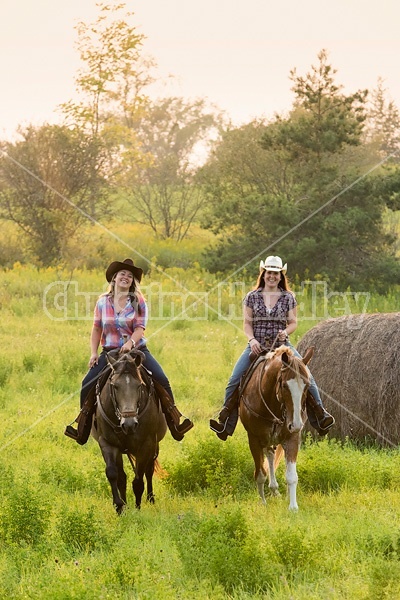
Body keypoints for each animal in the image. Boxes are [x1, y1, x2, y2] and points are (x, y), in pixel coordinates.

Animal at [90, 350, 166, 512]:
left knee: (149, 471)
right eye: (114, 386)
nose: (129, 424)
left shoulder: (146, 444)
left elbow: (138, 480)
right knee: (123, 476)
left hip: (154, 445)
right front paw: (119, 506)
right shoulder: (107, 443)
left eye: (139, 385)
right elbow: (113, 474)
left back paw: (150, 499)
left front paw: (137, 509)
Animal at [238, 344, 312, 508]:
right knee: (269, 456)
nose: (296, 424)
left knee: (272, 456)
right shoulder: (253, 439)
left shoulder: (292, 438)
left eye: (307, 386)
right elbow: (260, 474)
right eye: (284, 385)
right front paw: (263, 503)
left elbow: (291, 475)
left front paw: (293, 507)